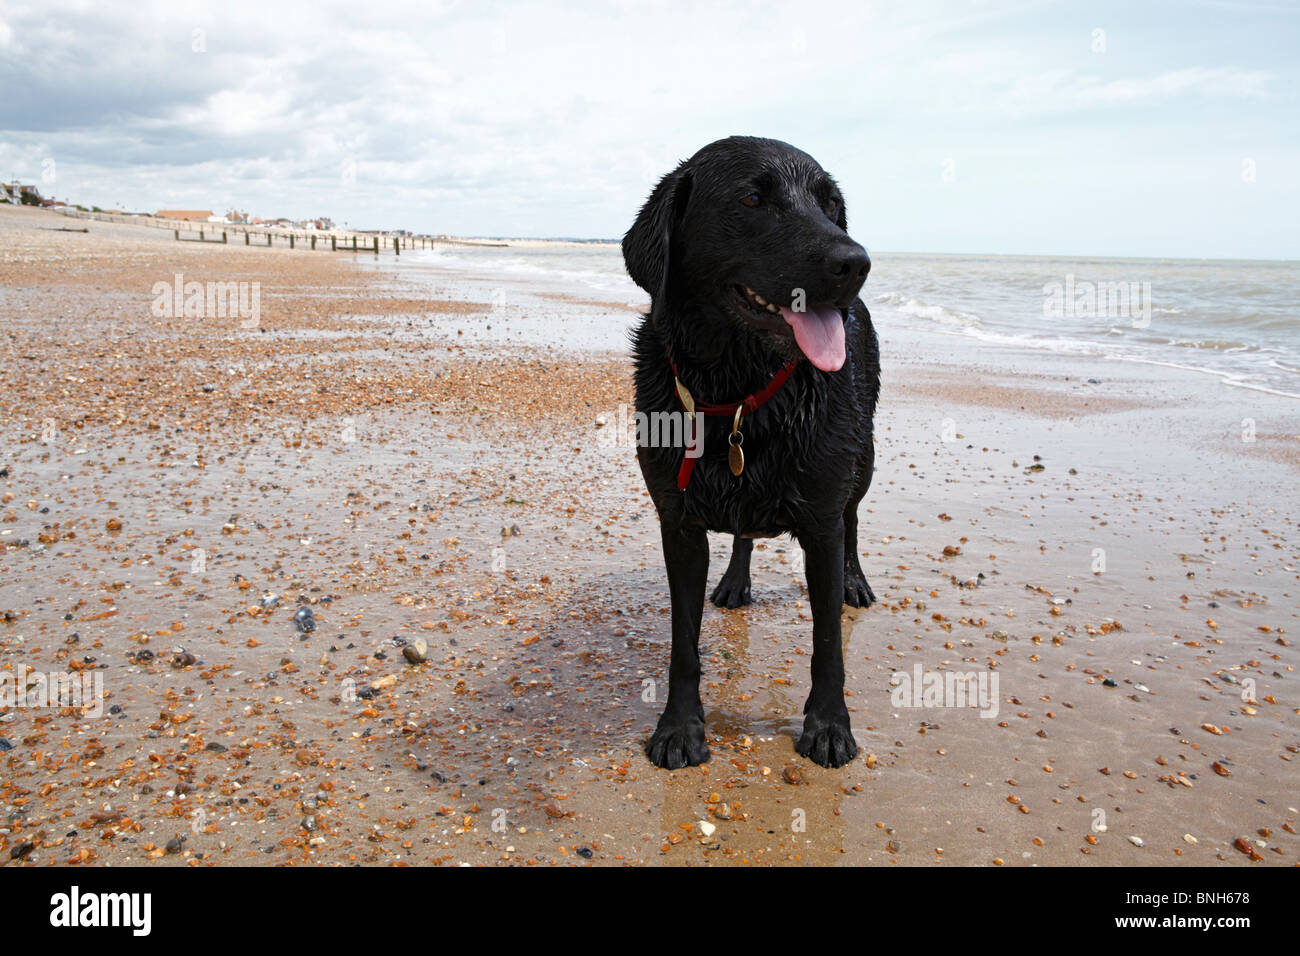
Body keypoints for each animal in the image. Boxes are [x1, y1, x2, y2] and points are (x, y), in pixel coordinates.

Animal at [621, 136, 883, 770]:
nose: (856, 263)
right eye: (753, 199)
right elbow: (683, 643)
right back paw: (736, 583)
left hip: (863, 457)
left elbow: (827, 642)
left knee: (854, 516)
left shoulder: (820, 522)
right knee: (744, 533)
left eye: (830, 203)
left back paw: (855, 581)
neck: (738, 396)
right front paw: (679, 728)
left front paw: (829, 725)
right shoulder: (677, 523)